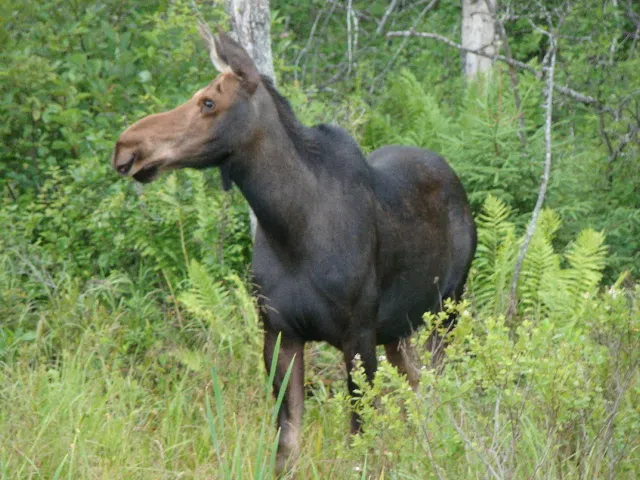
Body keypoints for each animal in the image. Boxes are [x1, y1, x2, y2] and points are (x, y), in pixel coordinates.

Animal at [112, 22, 478, 472]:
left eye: (209, 101)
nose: (126, 147)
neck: (291, 229)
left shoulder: (358, 335)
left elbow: (359, 439)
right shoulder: (279, 333)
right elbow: (287, 445)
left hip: (447, 311)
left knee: (436, 384)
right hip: (399, 328)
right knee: (414, 383)